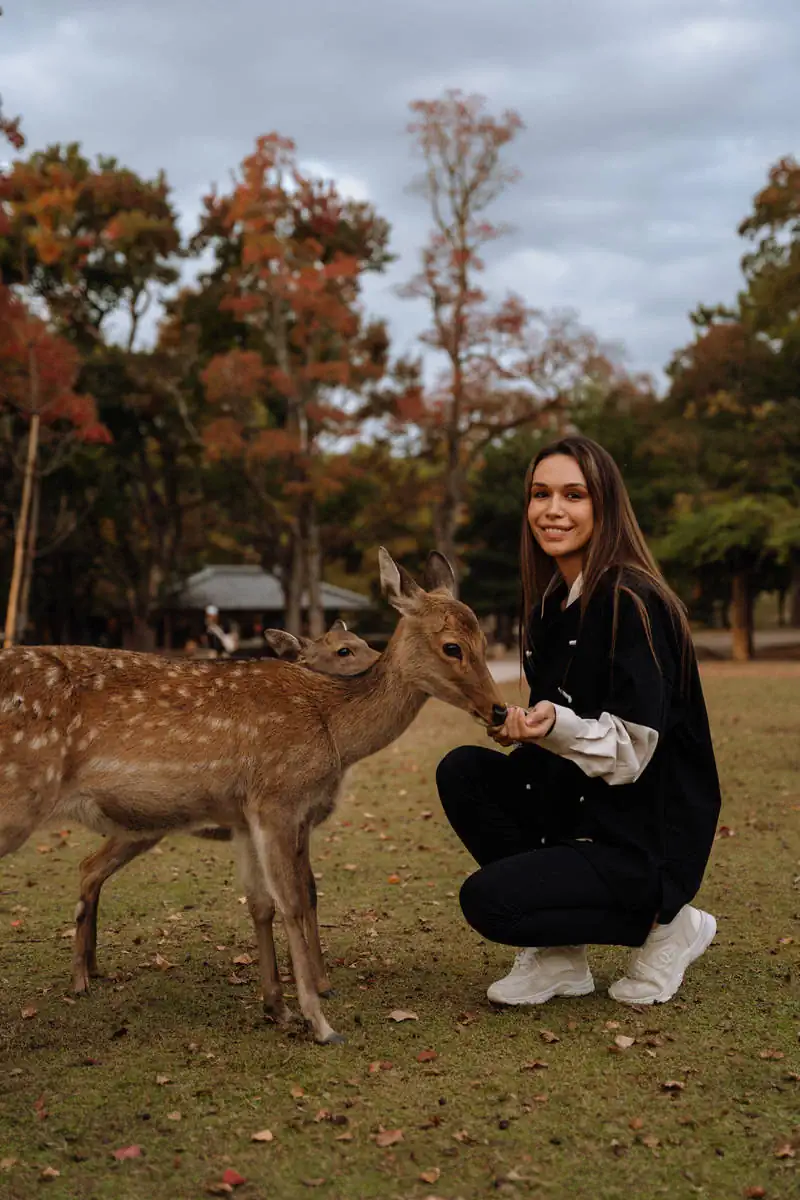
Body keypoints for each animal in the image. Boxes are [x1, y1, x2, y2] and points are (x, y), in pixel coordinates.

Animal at [68, 619, 379, 993]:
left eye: (361, 639)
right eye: (343, 650)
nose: (380, 659)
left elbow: (310, 891)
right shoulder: (295, 817)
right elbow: (304, 893)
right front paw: (320, 981)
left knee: (91, 867)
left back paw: (93, 965)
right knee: (89, 868)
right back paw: (82, 977)